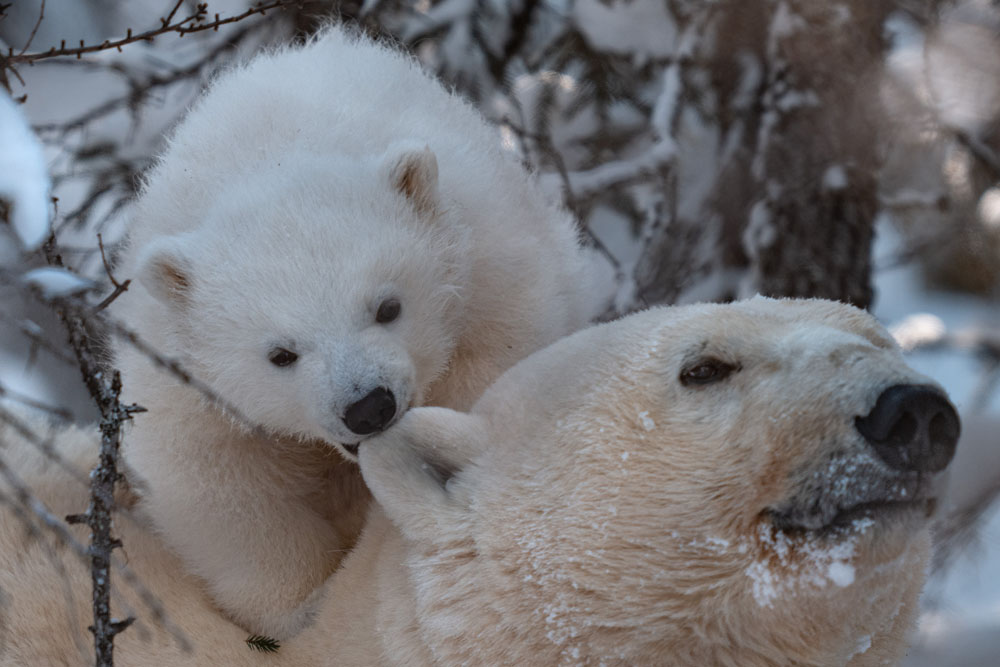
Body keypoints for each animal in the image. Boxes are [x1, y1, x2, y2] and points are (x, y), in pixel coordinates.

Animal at [111, 26, 592, 640]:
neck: (271, 157)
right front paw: (301, 607)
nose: (368, 407)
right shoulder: (182, 382)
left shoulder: (487, 267)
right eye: (281, 354)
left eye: (388, 307)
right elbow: (216, 485)